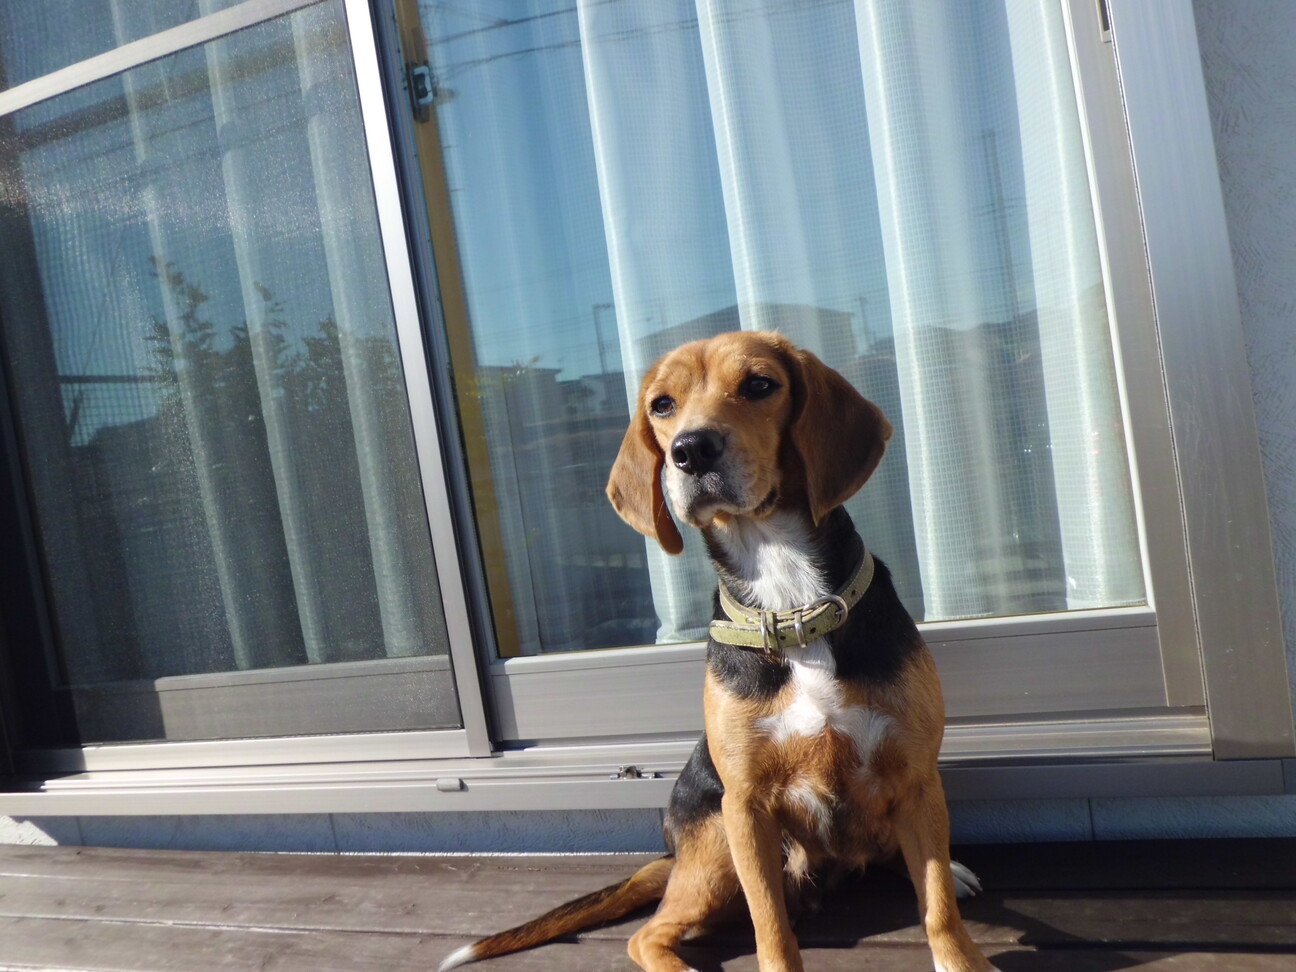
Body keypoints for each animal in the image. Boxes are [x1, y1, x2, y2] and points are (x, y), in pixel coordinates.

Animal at [440, 331, 998, 972]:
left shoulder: (916, 779)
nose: (691, 451)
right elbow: (770, 929)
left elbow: (938, 911)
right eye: (661, 405)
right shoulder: (746, 808)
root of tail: (672, 858)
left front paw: (958, 946)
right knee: (646, 935)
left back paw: (950, 868)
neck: (790, 601)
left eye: (759, 384)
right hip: (715, 859)